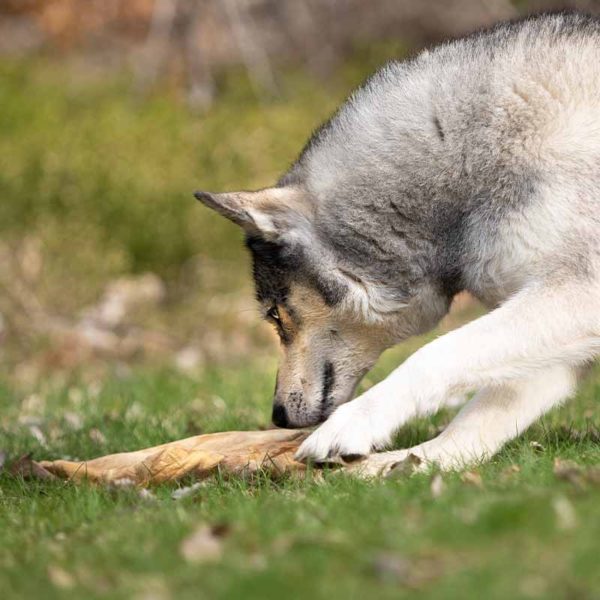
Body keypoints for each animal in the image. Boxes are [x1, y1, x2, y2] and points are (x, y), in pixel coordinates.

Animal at [196, 11, 600, 476]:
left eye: (277, 317)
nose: (277, 416)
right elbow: (476, 424)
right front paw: (406, 464)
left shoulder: (577, 292)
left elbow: (435, 355)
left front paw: (353, 424)